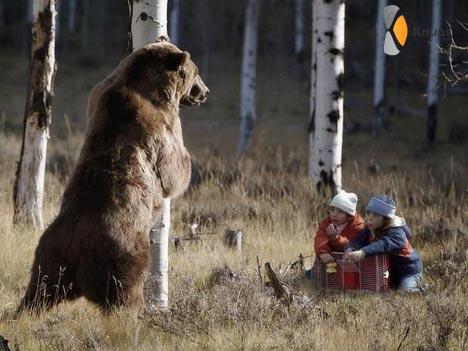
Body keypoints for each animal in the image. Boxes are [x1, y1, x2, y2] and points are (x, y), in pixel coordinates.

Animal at [18, 38, 208, 314]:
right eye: (196, 72)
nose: (205, 92)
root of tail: (76, 248)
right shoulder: (160, 123)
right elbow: (172, 168)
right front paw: (186, 166)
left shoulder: (98, 94)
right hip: (123, 254)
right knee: (124, 294)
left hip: (49, 257)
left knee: (38, 291)